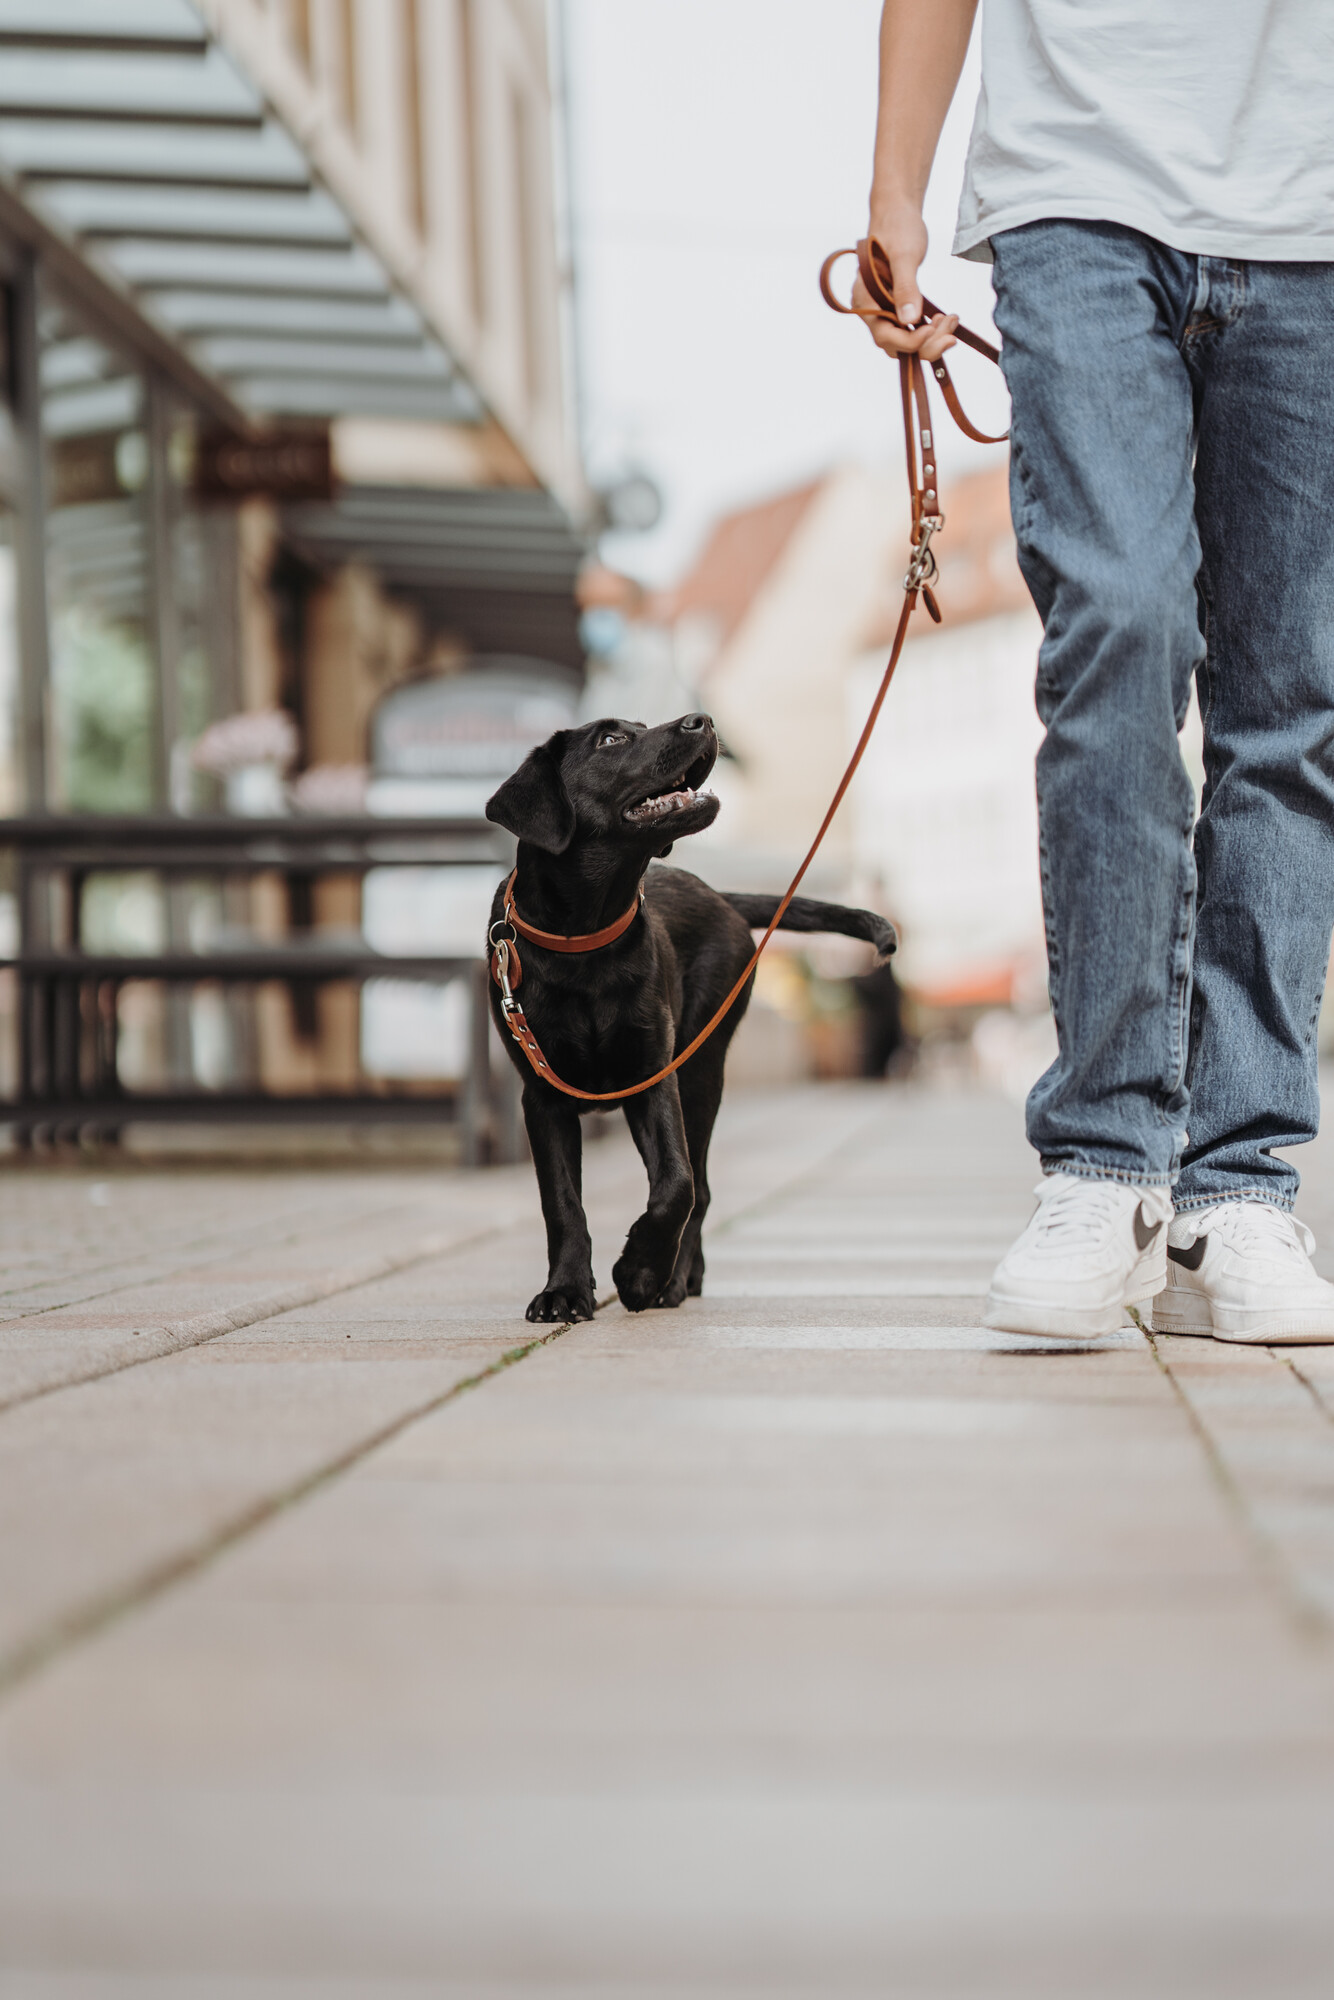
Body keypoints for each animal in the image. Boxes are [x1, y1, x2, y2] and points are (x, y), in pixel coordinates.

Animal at [486, 712, 892, 1320]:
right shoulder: (541, 1094)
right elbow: (562, 1203)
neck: (586, 939)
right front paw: (564, 1293)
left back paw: (674, 1280)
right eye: (611, 739)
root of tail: (721, 895)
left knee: (700, 1185)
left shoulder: (657, 1076)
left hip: (703, 1067)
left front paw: (638, 1271)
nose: (702, 720)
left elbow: (676, 1183)